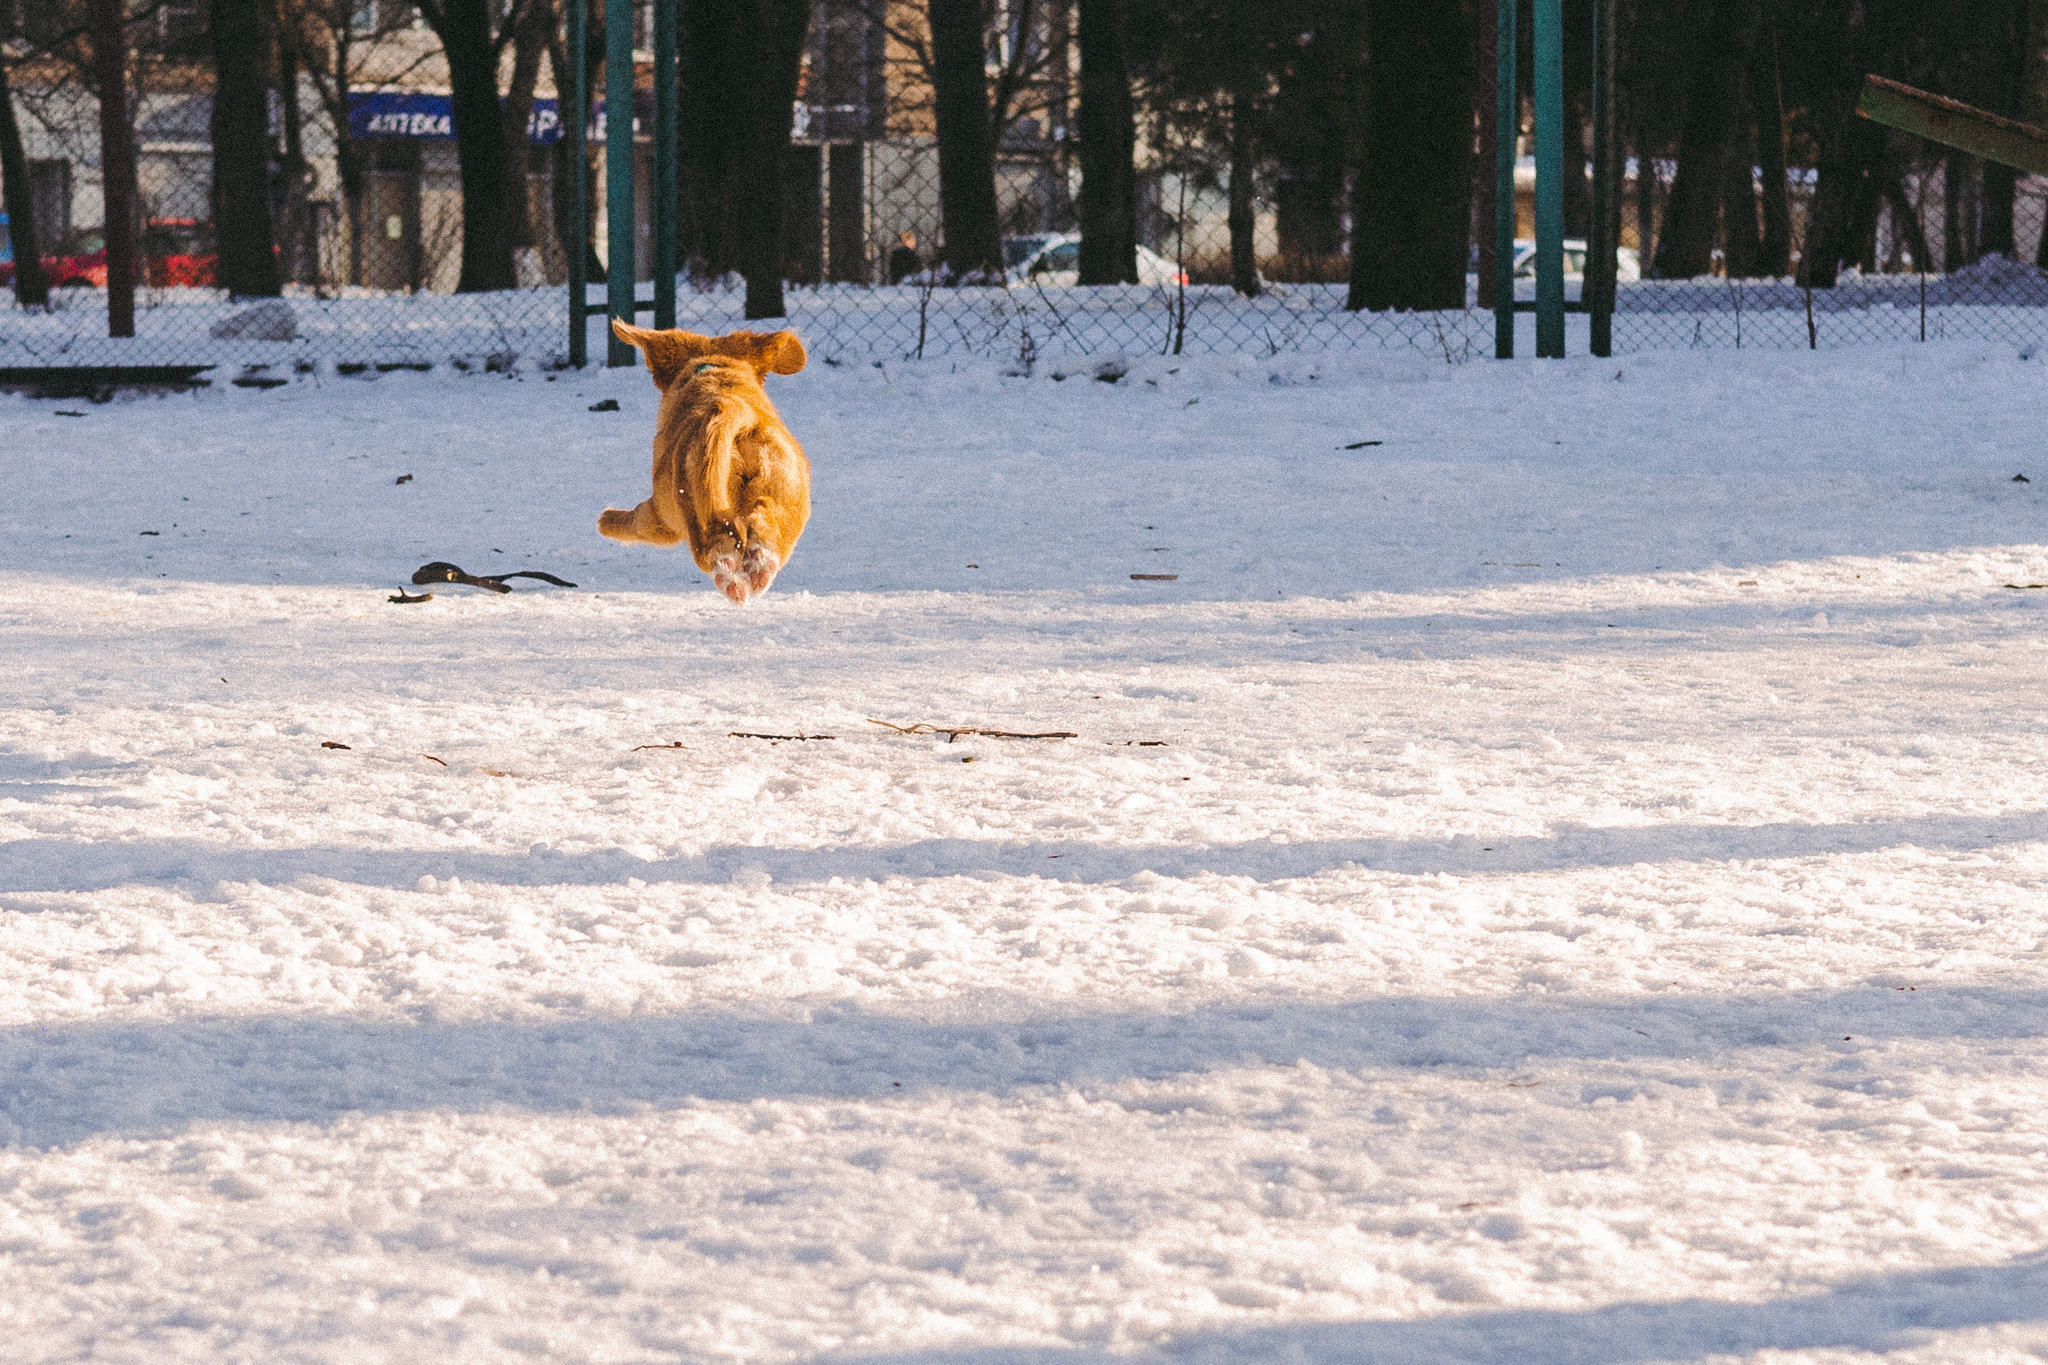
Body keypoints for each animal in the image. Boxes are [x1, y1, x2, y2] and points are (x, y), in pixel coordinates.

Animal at [598, 323, 806, 605]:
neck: (714, 373)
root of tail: (731, 405)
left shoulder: (661, 516)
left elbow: (637, 520)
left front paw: (606, 519)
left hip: (693, 514)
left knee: (719, 548)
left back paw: (731, 580)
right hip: (789, 496)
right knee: (764, 521)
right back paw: (760, 567)